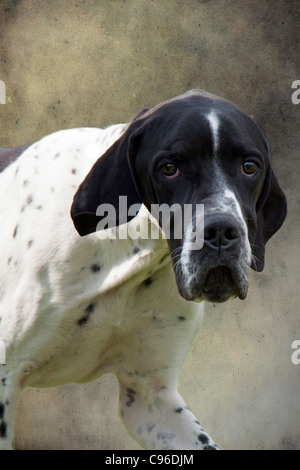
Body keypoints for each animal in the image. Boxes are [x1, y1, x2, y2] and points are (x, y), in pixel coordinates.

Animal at [0, 90, 286, 450]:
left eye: (249, 167)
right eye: (169, 168)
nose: (221, 231)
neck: (129, 255)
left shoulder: (151, 396)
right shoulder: (5, 381)